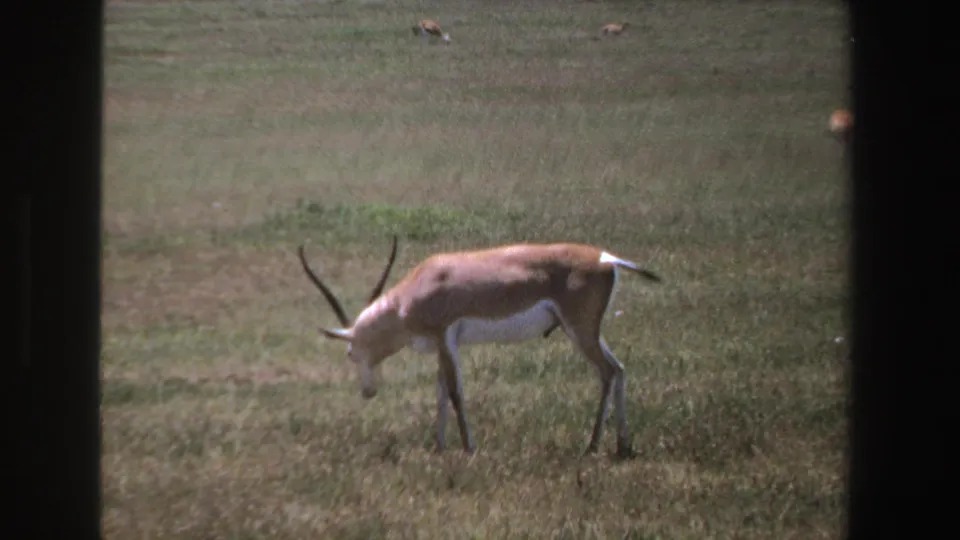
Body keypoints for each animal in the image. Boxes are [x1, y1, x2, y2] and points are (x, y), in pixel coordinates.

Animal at [297, 237, 663, 458]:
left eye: (350, 353)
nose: (367, 391)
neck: (416, 288)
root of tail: (606, 258)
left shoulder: (446, 336)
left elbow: (455, 393)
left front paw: (469, 448)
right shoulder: (445, 345)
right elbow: (440, 393)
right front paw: (440, 448)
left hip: (580, 330)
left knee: (607, 371)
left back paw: (592, 446)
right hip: (588, 332)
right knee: (619, 369)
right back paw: (622, 445)